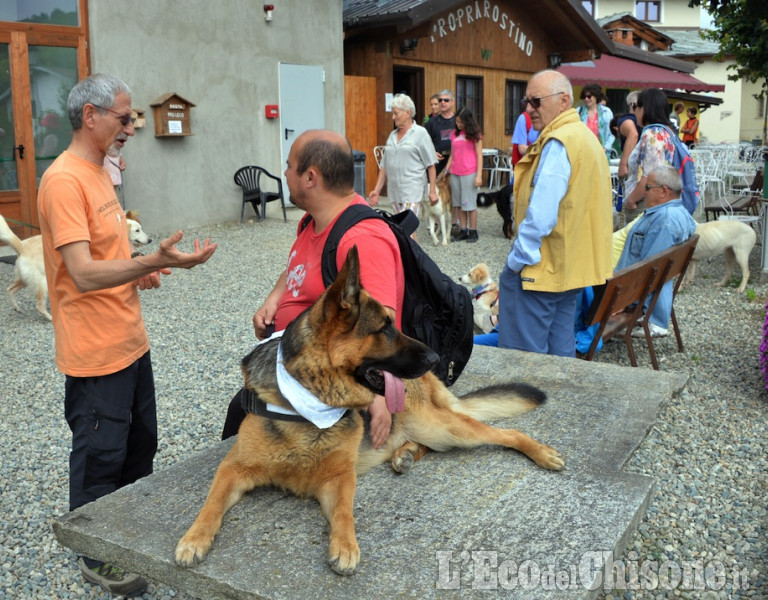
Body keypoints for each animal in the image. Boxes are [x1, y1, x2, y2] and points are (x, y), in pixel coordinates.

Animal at [178, 246, 564, 576]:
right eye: (385, 329)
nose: (435, 358)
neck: (311, 403)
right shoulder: (234, 467)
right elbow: (211, 502)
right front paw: (194, 538)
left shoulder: (339, 478)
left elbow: (344, 512)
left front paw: (346, 546)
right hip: (431, 431)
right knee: (425, 445)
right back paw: (405, 454)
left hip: (445, 427)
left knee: (506, 433)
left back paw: (542, 452)